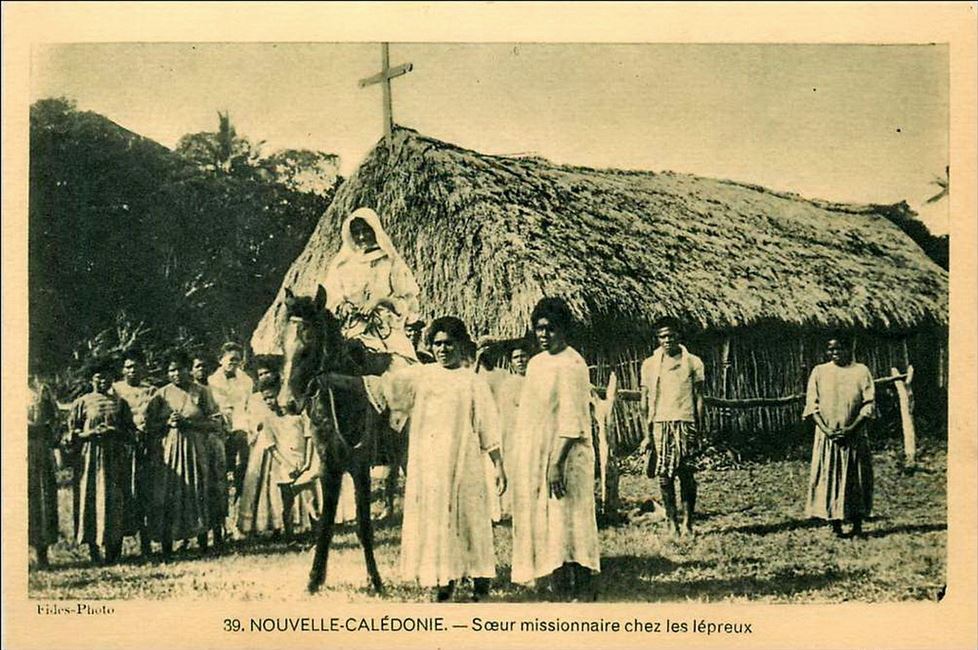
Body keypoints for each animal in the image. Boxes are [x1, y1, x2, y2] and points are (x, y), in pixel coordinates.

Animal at [278, 285, 384, 594]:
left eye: (308, 348)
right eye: (282, 348)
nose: (287, 403)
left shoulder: (360, 468)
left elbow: (364, 526)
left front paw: (375, 580)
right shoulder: (330, 469)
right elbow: (325, 526)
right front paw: (314, 579)